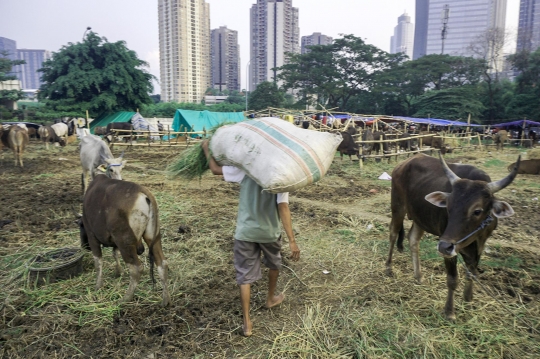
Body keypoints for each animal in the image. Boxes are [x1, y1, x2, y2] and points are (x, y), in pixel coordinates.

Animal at [77, 174, 170, 306]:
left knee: (136, 268)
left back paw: (126, 297)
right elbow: (114, 253)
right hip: (153, 237)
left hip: (124, 242)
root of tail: (143, 192)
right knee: (162, 264)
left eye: (81, 226)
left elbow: (98, 262)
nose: (84, 246)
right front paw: (118, 272)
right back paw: (165, 300)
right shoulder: (115, 241)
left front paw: (98, 285)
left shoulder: (92, 237)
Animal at [384, 154, 520, 320]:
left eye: (477, 211)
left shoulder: (478, 246)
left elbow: (472, 272)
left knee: (413, 239)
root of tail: (403, 164)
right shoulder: (449, 249)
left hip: (420, 218)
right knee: (393, 233)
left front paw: (468, 298)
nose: (444, 246)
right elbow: (452, 279)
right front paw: (449, 312)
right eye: (448, 207)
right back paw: (389, 267)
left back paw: (419, 276)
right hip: (398, 207)